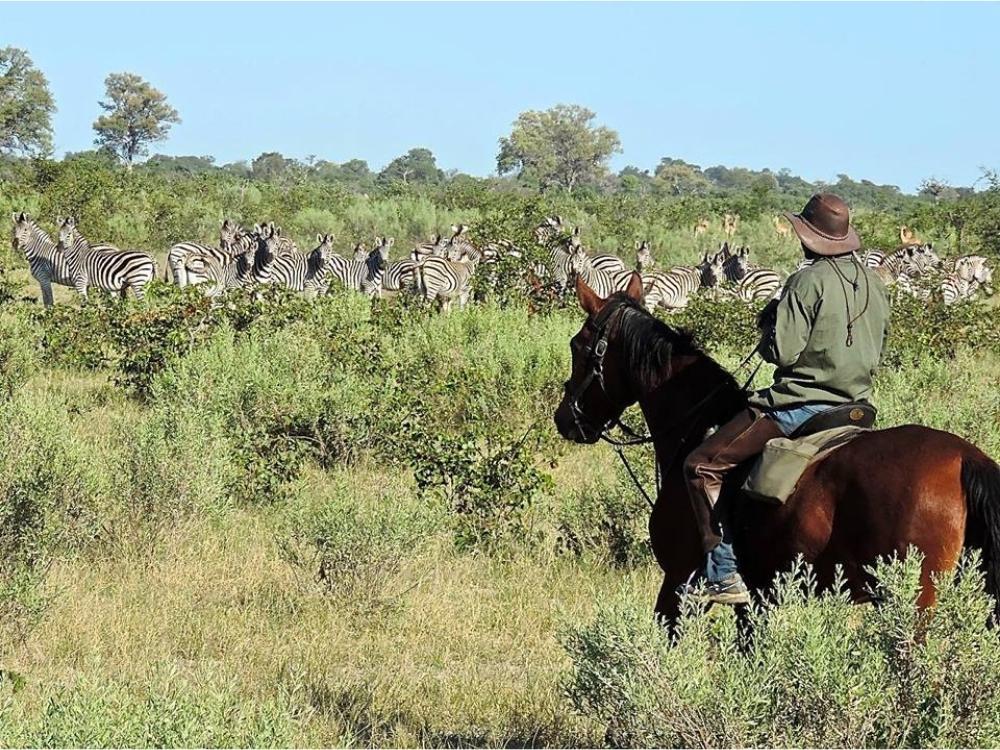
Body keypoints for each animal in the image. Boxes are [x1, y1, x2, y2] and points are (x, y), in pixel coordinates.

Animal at [554, 273, 1000, 625]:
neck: (694, 426)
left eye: (578, 345)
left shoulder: (677, 584)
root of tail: (965, 458)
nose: (565, 418)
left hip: (912, 600)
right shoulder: (759, 599)